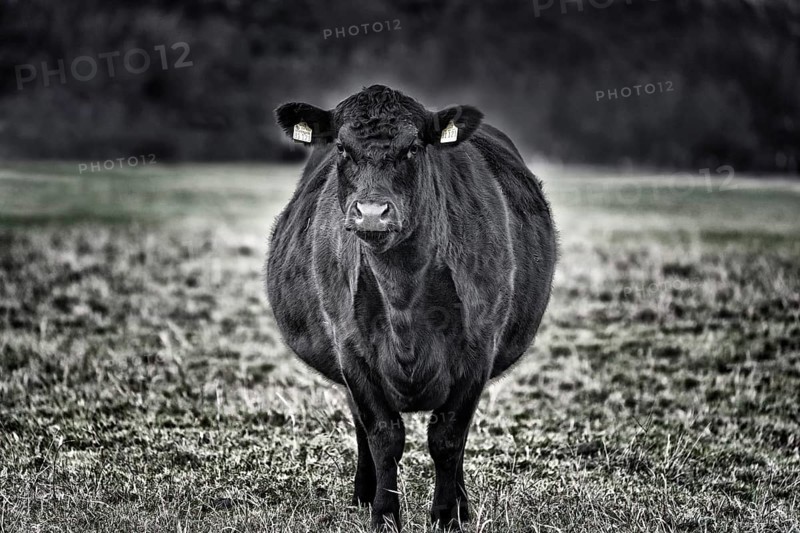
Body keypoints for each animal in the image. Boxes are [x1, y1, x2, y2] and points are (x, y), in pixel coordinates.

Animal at [267, 85, 556, 531]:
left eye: (414, 147)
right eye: (342, 147)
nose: (372, 212)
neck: (402, 296)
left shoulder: (479, 349)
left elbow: (448, 439)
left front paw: (447, 516)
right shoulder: (351, 352)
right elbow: (384, 436)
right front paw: (384, 515)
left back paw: (461, 503)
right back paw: (363, 495)